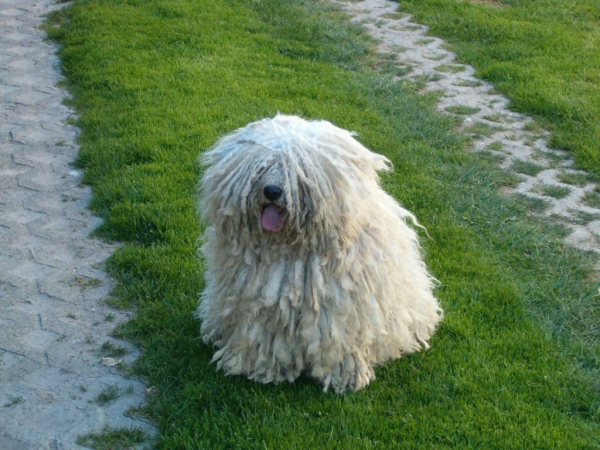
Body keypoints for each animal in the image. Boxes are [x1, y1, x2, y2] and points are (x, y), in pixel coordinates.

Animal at [197, 114, 440, 392]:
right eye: (262, 167)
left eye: (298, 172)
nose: (272, 191)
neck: (289, 249)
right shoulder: (257, 303)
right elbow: (263, 333)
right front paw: (262, 369)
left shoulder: (344, 310)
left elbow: (342, 340)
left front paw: (345, 376)